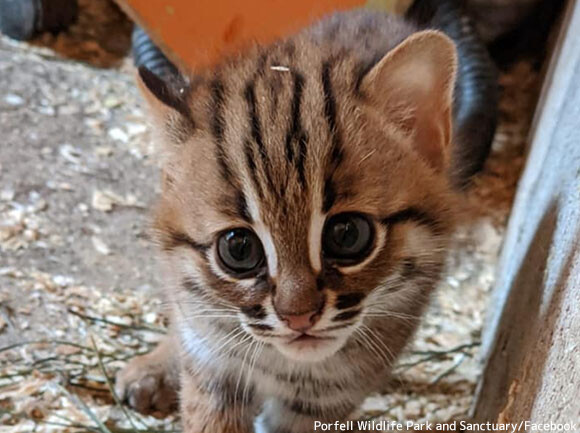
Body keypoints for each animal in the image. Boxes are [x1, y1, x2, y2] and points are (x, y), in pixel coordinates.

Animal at [115, 5, 496, 432]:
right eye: (238, 248)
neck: (282, 364)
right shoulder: (214, 367)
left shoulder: (323, 399)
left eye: (348, 234)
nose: (298, 318)